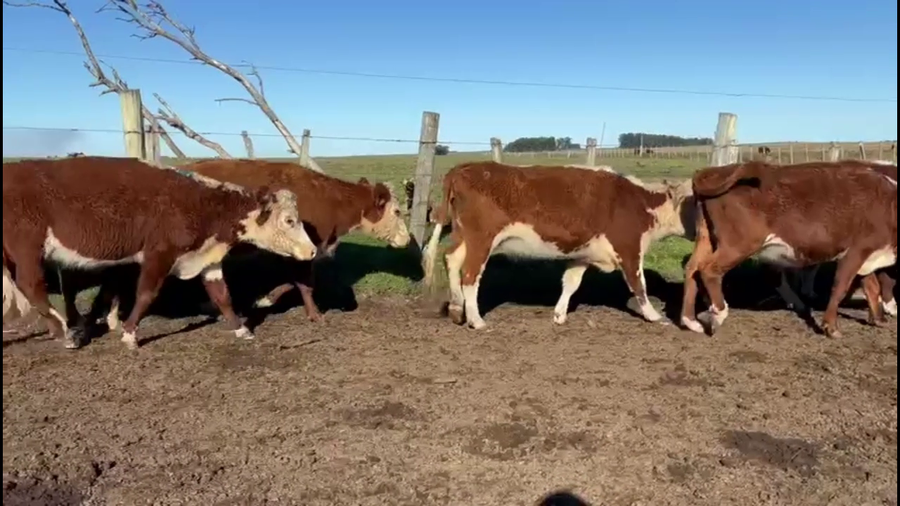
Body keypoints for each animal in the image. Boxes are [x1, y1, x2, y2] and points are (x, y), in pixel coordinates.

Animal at [2, 156, 318, 350]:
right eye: (289, 220)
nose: (312, 250)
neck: (203, 203)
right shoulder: (159, 254)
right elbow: (145, 294)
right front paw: (130, 334)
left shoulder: (208, 258)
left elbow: (222, 296)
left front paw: (241, 329)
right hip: (27, 247)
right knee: (32, 285)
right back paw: (65, 332)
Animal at [85, 159, 410, 325]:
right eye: (396, 211)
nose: (408, 239)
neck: (327, 197)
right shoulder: (302, 248)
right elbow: (304, 283)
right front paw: (314, 313)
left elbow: (290, 282)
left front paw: (263, 298)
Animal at [421, 161, 694, 329]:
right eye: (696, 201)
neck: (640, 203)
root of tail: (463, 168)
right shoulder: (628, 248)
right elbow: (639, 285)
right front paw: (653, 315)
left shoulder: (583, 254)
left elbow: (571, 283)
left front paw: (559, 314)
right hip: (481, 240)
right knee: (470, 276)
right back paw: (476, 320)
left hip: (464, 237)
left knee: (451, 260)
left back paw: (456, 308)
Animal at [681, 160, 897, 338]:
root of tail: (717, 170)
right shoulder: (855, 252)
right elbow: (840, 287)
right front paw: (831, 327)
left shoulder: (869, 256)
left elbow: (872, 287)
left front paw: (879, 319)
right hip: (739, 244)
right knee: (709, 270)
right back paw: (718, 312)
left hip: (707, 239)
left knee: (692, 269)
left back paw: (690, 321)